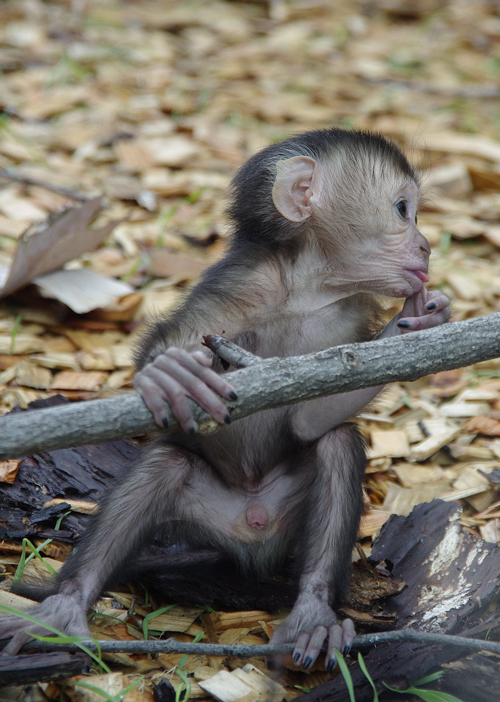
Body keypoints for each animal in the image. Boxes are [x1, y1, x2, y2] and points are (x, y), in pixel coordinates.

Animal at [0, 129, 452, 672]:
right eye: (403, 209)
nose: (426, 245)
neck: (307, 289)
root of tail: (249, 532)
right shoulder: (240, 287)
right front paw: (169, 371)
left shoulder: (348, 313)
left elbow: (311, 420)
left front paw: (419, 322)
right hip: (198, 520)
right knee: (166, 464)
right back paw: (64, 607)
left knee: (336, 443)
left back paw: (314, 612)